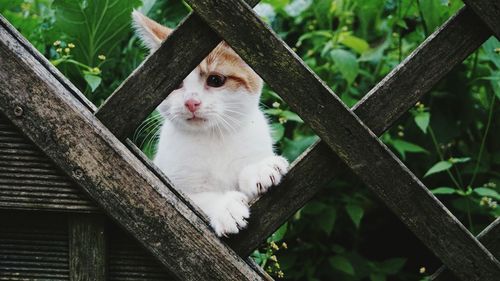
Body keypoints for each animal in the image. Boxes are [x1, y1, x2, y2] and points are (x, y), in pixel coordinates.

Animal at [132, 9, 290, 235]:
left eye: (215, 80)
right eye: (176, 83)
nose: (191, 102)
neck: (214, 137)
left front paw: (260, 169)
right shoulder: (172, 187)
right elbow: (198, 200)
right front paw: (225, 207)